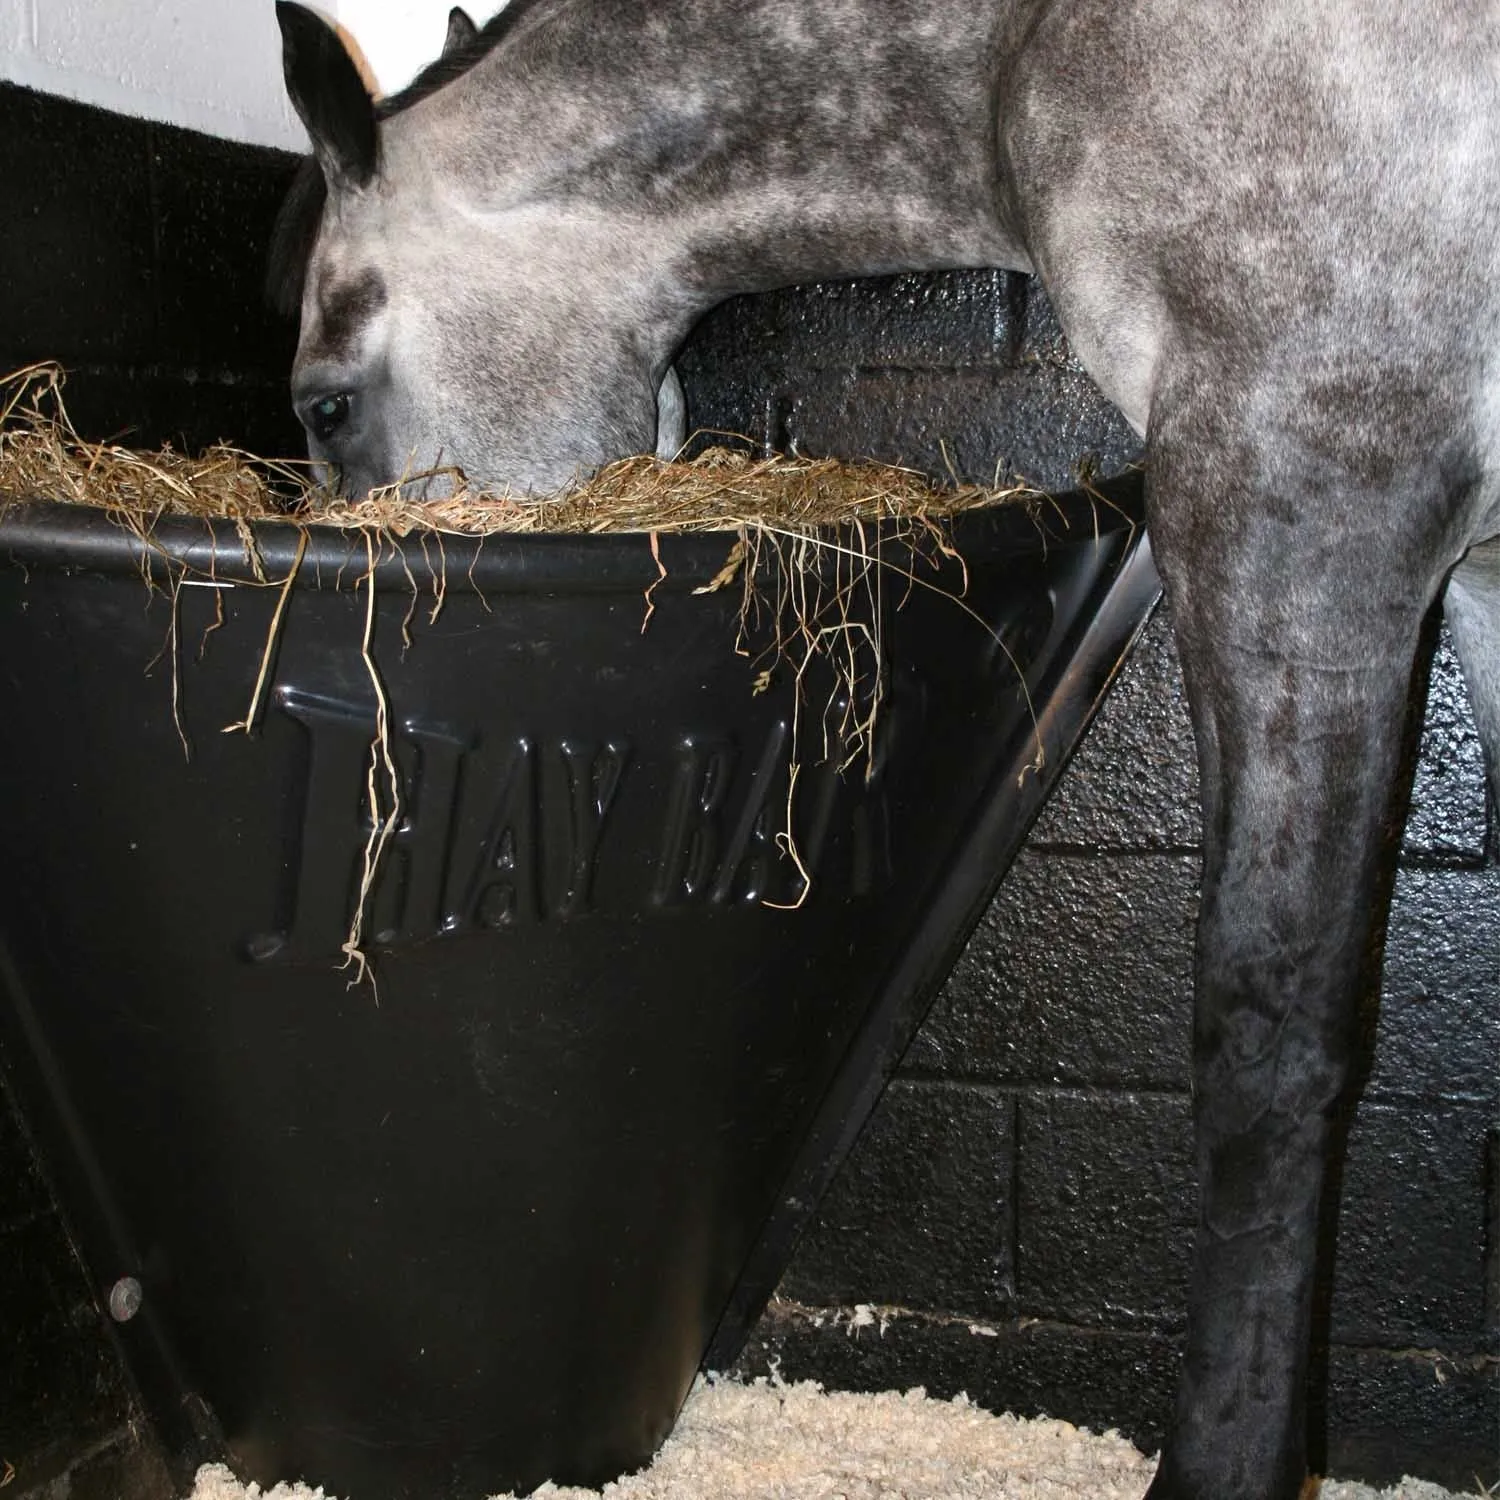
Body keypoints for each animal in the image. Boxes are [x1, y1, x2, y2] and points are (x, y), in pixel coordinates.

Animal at [270, 5, 1500, 1494]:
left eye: (326, 406)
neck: (1026, 53)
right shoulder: (1485, 573)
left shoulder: (1298, 502)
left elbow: (1269, 1049)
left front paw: (1224, 1463)